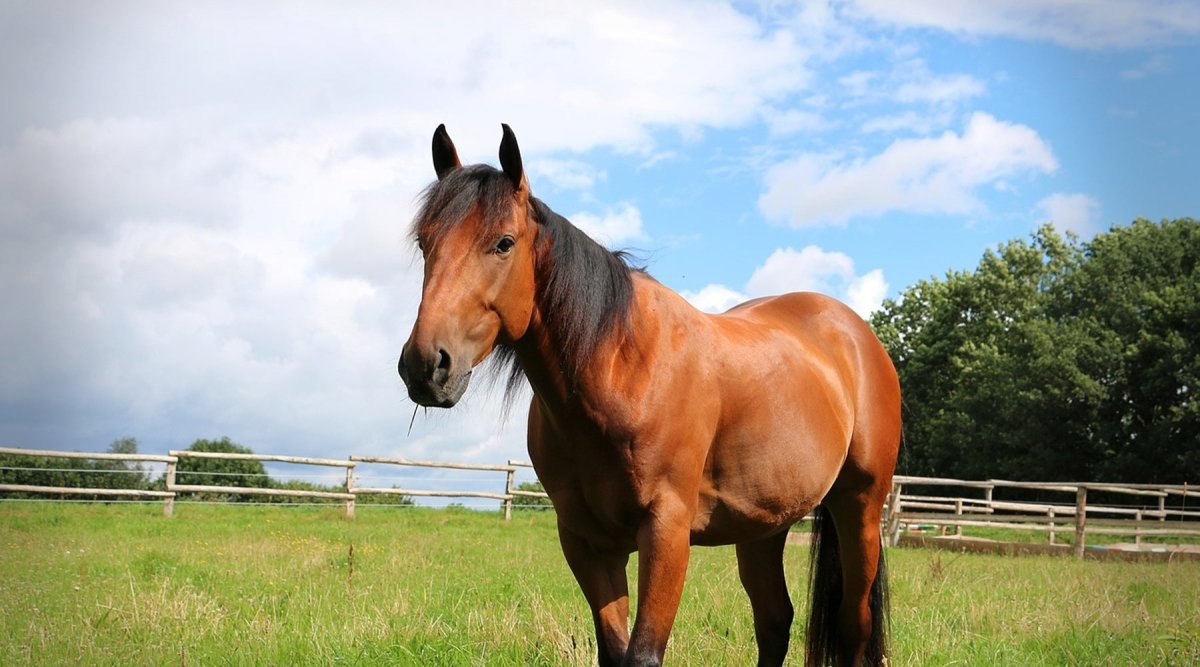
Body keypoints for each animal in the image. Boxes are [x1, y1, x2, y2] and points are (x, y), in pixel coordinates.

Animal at [400, 124, 902, 667]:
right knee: (774, 621)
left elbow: (642, 653)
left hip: (859, 509)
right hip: (764, 527)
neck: (622, 373)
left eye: (503, 243)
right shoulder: (587, 541)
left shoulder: (667, 531)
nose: (426, 366)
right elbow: (614, 650)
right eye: (425, 244)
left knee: (854, 626)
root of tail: (853, 332)